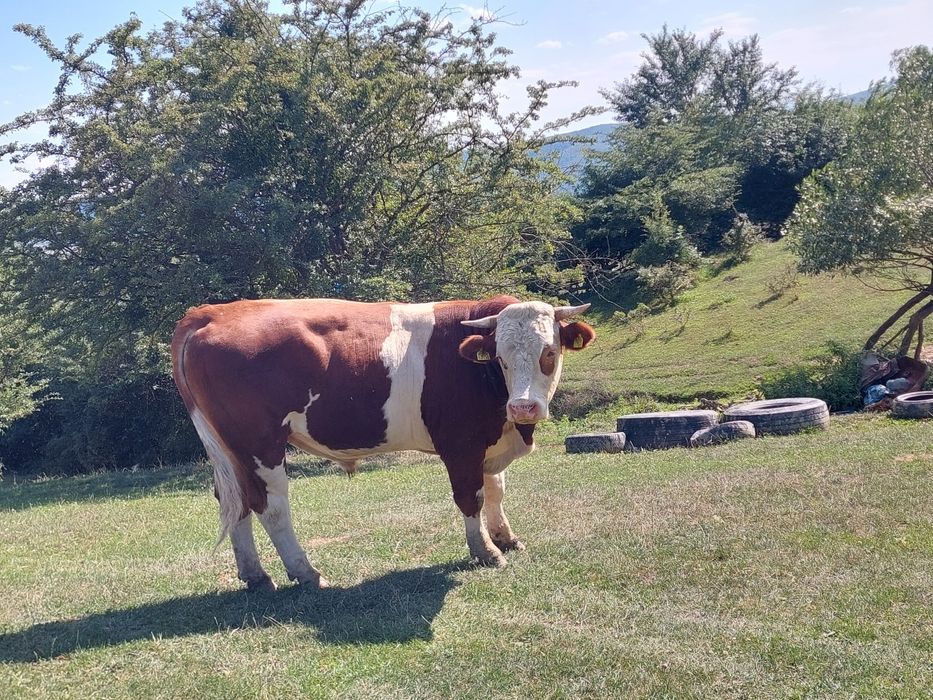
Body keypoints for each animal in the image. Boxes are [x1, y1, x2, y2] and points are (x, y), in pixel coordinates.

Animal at [171, 295, 595, 589]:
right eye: (501, 358)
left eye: (549, 353)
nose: (523, 406)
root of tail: (213, 312)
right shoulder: (461, 445)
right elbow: (470, 497)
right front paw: (486, 552)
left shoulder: (488, 442)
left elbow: (496, 490)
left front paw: (505, 538)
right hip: (259, 444)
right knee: (270, 506)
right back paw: (306, 572)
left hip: (229, 450)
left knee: (235, 500)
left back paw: (255, 575)